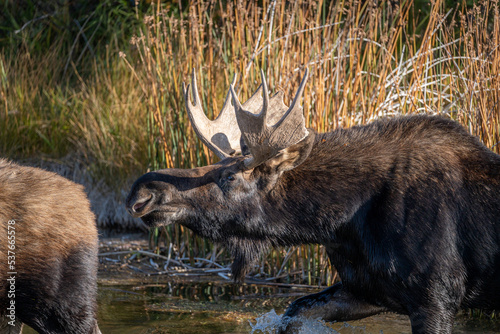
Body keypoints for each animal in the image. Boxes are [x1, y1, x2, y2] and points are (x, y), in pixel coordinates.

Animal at [127, 69, 500, 332]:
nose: (142, 191)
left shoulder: (435, 296)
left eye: (229, 177)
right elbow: (295, 312)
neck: (341, 223)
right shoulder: (368, 289)